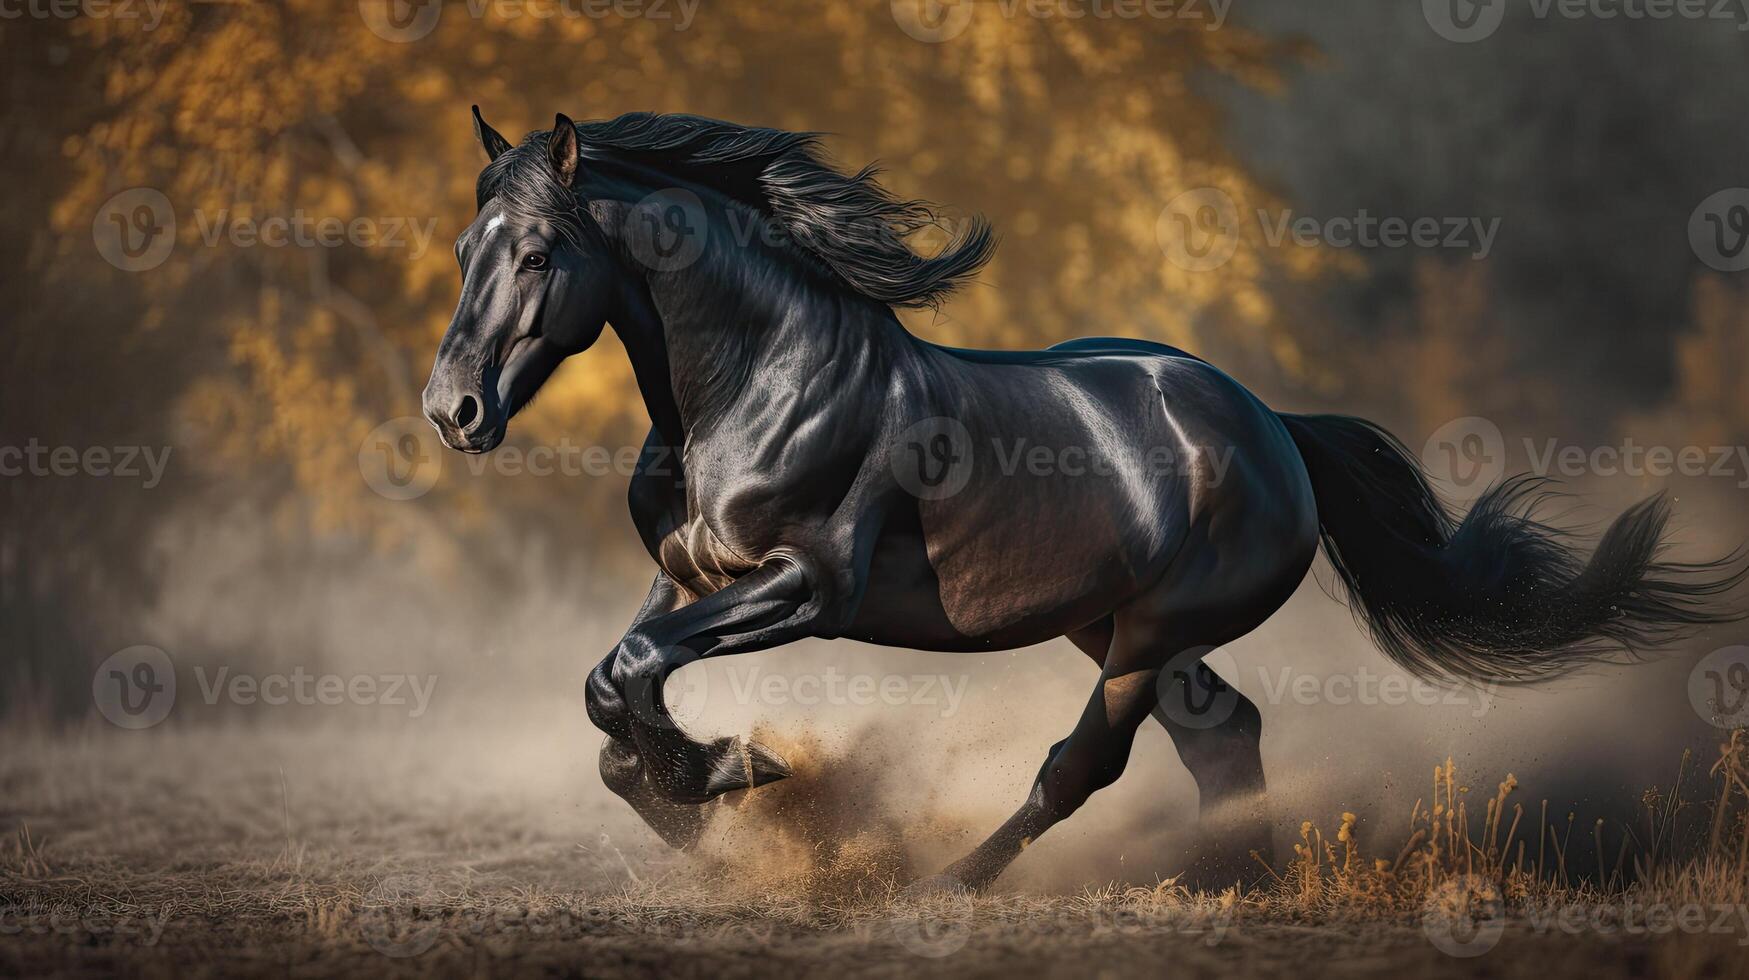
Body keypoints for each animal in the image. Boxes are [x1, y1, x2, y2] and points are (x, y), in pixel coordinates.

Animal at [419, 108, 1735, 896]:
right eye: (465, 247)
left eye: (537, 252)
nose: (453, 409)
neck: (758, 375)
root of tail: (1275, 429)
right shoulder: (689, 573)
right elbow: (611, 687)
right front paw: (696, 792)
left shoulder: (805, 585)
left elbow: (633, 674)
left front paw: (735, 772)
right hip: (1108, 621)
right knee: (1224, 733)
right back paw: (1234, 879)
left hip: (1148, 631)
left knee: (1085, 764)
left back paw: (951, 883)